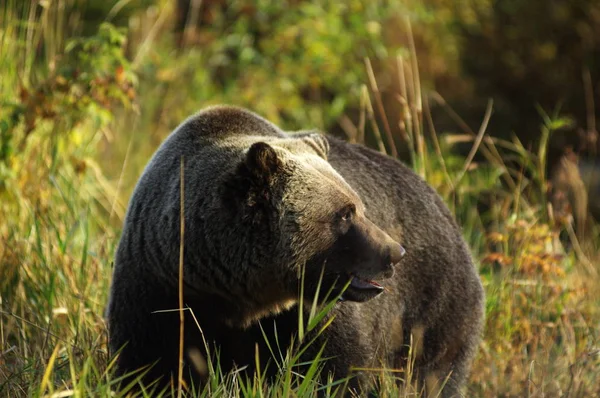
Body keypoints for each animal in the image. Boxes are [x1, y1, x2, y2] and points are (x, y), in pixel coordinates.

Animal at [106, 105, 482, 394]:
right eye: (344, 214)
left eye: (360, 207)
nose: (395, 252)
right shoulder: (162, 290)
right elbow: (150, 367)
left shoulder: (314, 313)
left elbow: (333, 371)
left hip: (430, 305)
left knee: (429, 372)